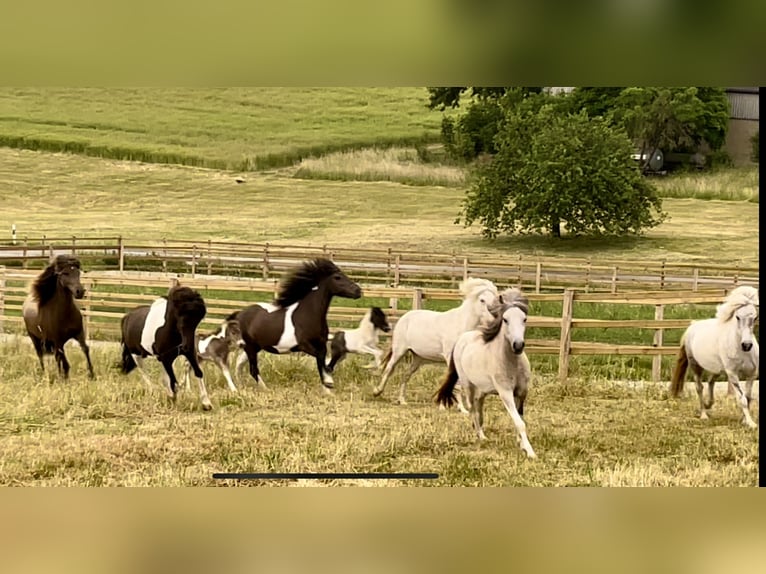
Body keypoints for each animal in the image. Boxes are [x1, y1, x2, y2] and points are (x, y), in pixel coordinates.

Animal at [234, 258, 362, 392]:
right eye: (337, 277)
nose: (358, 291)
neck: (308, 316)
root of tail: (239, 314)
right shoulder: (304, 345)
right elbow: (321, 359)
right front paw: (329, 383)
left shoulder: (321, 343)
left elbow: (323, 362)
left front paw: (327, 387)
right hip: (250, 347)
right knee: (253, 369)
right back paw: (265, 389)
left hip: (255, 347)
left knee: (240, 364)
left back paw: (240, 386)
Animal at [372, 277, 499, 406]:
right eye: (482, 300)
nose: (494, 318)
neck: (461, 325)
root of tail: (405, 316)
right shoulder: (449, 357)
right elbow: (456, 383)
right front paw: (457, 406)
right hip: (399, 351)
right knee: (389, 369)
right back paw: (377, 391)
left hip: (418, 357)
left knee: (406, 375)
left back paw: (402, 400)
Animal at [435, 288, 535, 458]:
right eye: (505, 320)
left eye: (524, 319)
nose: (518, 345)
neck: (512, 364)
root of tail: (462, 338)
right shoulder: (505, 392)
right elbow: (519, 422)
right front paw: (530, 451)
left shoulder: (522, 392)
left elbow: (520, 419)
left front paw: (520, 443)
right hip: (467, 385)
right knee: (472, 408)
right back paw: (480, 435)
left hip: (481, 389)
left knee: (479, 407)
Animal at [669, 285, 759, 429]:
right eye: (737, 317)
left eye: (755, 317)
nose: (746, 345)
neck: (742, 352)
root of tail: (692, 326)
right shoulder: (733, 374)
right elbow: (742, 399)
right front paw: (751, 423)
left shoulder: (752, 374)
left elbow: (748, 397)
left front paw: (744, 420)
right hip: (696, 366)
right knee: (699, 387)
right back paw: (703, 414)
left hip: (718, 369)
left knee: (710, 381)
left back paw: (708, 404)